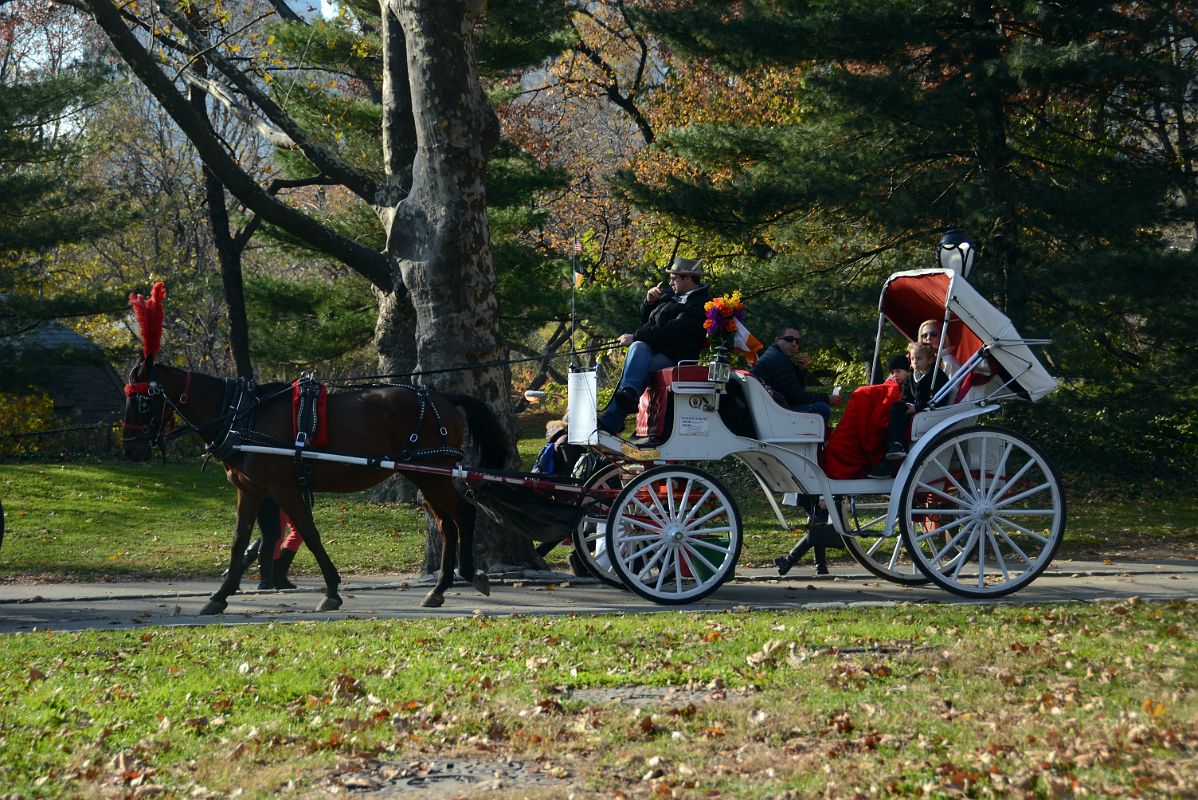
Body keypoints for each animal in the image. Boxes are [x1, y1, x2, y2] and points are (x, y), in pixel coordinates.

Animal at [123, 352, 507, 617]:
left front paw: (332, 591)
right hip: (425, 476)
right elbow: (239, 541)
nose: (130, 448)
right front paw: (220, 595)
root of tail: (444, 398)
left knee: (464, 514)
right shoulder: (250, 490)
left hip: (432, 472)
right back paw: (439, 589)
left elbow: (308, 533)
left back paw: (469, 574)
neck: (243, 416)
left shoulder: (283, 488)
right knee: (447, 525)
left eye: (142, 399)